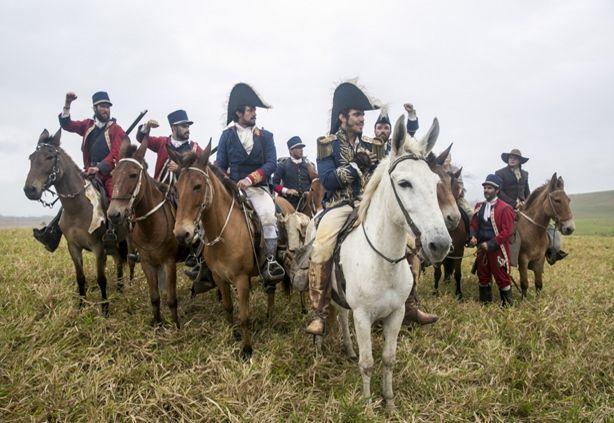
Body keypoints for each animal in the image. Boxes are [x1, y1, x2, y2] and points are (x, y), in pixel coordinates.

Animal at [24, 129, 129, 314]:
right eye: (31, 158)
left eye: (49, 157)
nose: (30, 190)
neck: (78, 209)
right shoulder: (73, 247)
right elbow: (80, 277)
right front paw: (80, 306)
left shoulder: (98, 247)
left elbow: (101, 278)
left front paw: (105, 308)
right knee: (118, 260)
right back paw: (119, 288)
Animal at [107, 137, 183, 330]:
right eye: (113, 175)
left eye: (133, 175)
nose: (113, 214)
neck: (151, 227)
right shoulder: (148, 264)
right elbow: (155, 298)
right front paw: (158, 324)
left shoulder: (169, 263)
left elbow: (172, 299)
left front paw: (176, 327)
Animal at [170, 142, 274, 358]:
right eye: (176, 188)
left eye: (198, 186)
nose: (181, 233)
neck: (224, 233)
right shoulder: (220, 277)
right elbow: (228, 307)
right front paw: (233, 334)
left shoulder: (241, 280)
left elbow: (244, 315)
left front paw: (246, 349)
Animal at [332, 117, 452, 410]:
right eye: (405, 183)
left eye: (435, 183)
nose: (440, 244)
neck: (381, 263)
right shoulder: (363, 316)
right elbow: (367, 363)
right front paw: (366, 406)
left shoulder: (396, 313)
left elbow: (388, 359)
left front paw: (389, 402)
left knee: (341, 314)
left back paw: (348, 348)